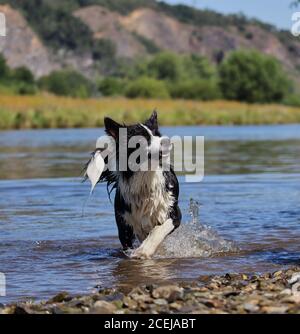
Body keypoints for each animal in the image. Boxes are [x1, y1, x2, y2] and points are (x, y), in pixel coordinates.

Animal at [85, 111, 182, 258]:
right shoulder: (124, 222)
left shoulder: (174, 212)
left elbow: (158, 229)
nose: (166, 141)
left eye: (157, 134)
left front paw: (144, 250)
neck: (146, 177)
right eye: (142, 139)